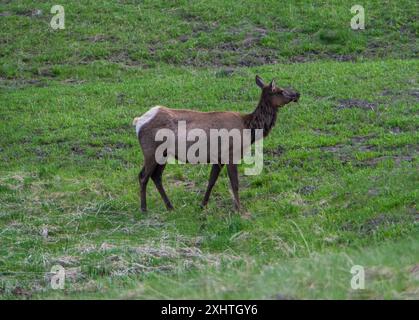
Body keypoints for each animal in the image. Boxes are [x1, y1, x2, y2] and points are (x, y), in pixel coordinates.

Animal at [133, 75, 300, 212]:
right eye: (280, 90)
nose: (297, 94)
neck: (248, 128)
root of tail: (138, 122)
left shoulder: (218, 158)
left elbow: (211, 181)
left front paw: (202, 205)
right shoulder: (231, 154)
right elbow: (235, 183)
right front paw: (239, 210)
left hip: (164, 154)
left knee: (156, 176)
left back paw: (170, 206)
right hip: (151, 151)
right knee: (143, 176)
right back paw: (144, 208)